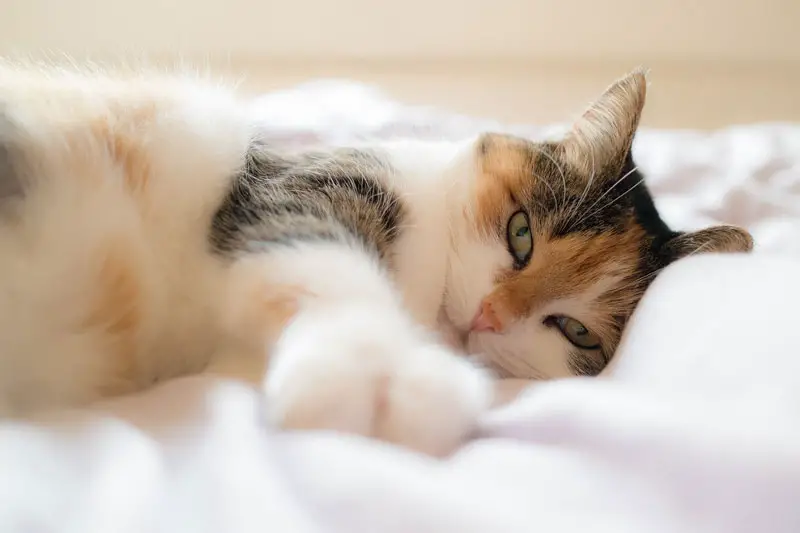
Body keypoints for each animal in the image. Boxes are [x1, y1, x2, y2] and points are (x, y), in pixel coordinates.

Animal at [0, 62, 752, 454]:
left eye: (576, 331)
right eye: (520, 235)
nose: (487, 315)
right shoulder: (304, 187)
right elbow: (336, 273)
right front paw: (379, 374)